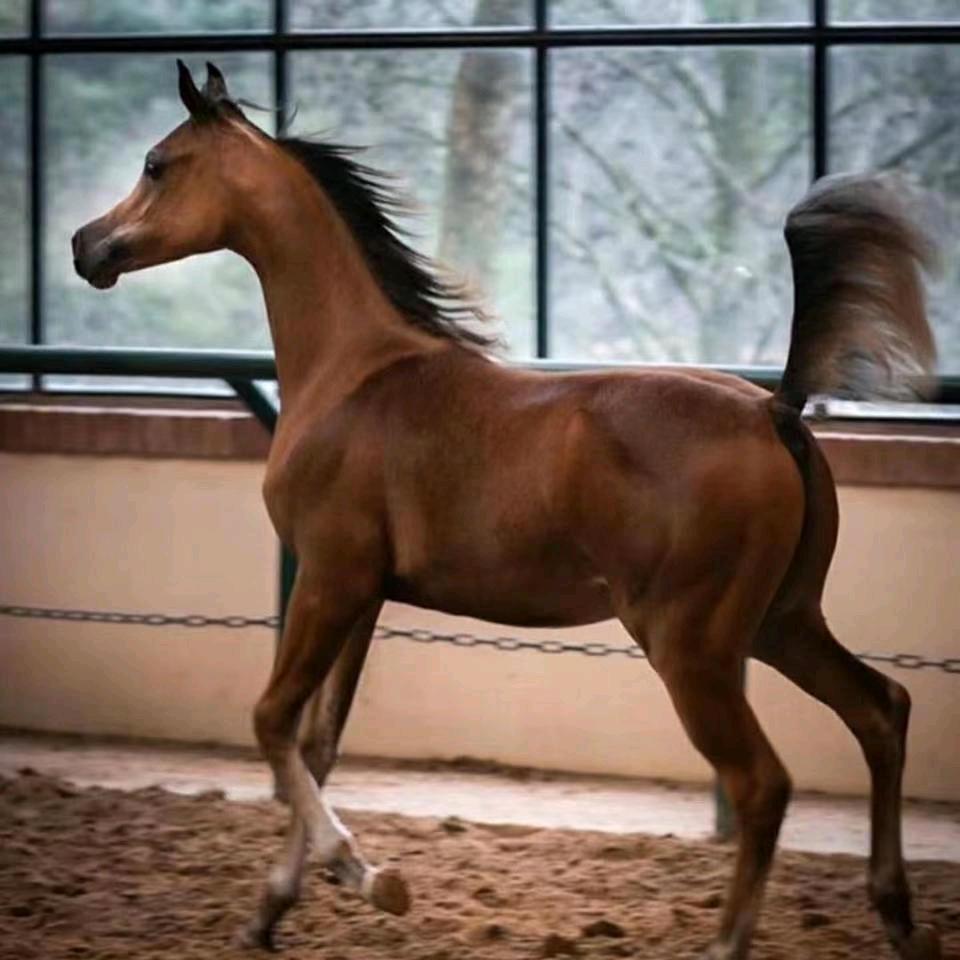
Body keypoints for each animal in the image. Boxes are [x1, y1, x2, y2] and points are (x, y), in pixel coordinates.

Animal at [71, 60, 942, 960]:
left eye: (156, 164)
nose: (85, 245)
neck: (352, 373)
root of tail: (775, 411)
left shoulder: (328, 577)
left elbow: (274, 720)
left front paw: (364, 874)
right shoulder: (365, 594)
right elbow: (320, 742)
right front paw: (275, 905)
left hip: (693, 646)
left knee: (763, 783)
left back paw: (733, 941)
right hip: (782, 621)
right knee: (882, 709)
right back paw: (898, 916)